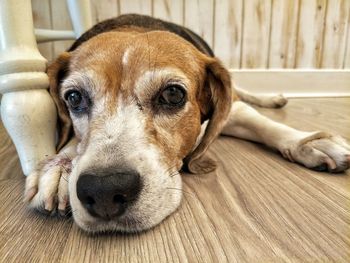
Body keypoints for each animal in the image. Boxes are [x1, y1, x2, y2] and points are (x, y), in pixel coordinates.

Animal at [23, 13, 348, 233]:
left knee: (245, 94)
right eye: (74, 97)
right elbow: (71, 142)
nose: (104, 191)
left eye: (172, 94)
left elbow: (265, 125)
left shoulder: (232, 111)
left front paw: (309, 142)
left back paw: (273, 98)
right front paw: (60, 168)